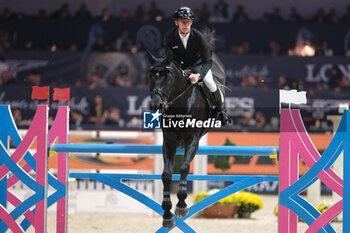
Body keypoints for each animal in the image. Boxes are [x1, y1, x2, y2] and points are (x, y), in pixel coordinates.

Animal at [146, 46, 226, 228]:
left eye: (168, 77)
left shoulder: (192, 140)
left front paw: (181, 205)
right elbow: (166, 174)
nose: (155, 104)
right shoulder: (169, 143)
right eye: (151, 76)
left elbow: (183, 167)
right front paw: (167, 213)